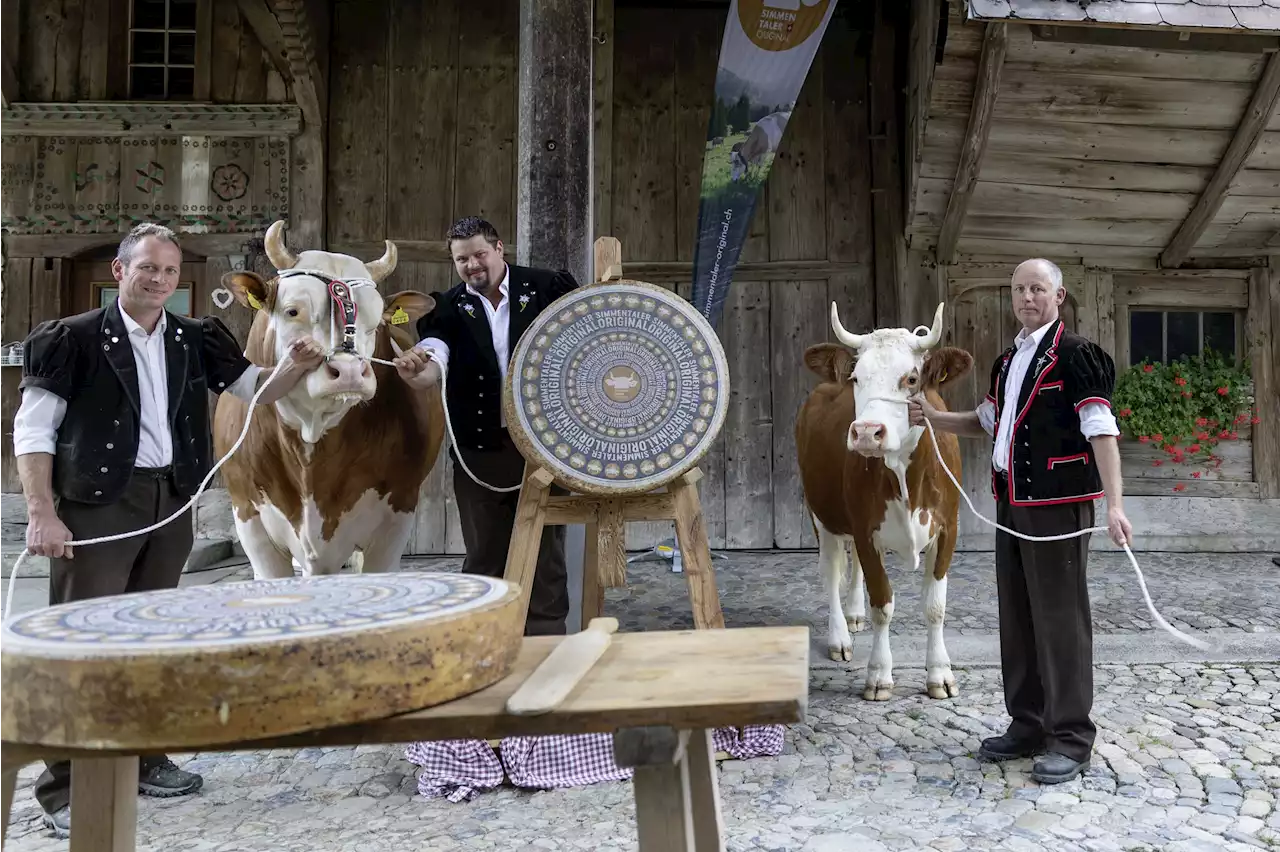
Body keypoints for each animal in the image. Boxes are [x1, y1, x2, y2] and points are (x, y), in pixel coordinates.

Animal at [798, 301, 967, 701]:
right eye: (856, 378)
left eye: (911, 379)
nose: (865, 433)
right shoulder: (864, 529)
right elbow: (882, 604)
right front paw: (878, 673)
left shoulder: (948, 529)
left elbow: (935, 606)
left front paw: (940, 673)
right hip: (821, 514)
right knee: (831, 572)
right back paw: (839, 636)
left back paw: (853, 615)